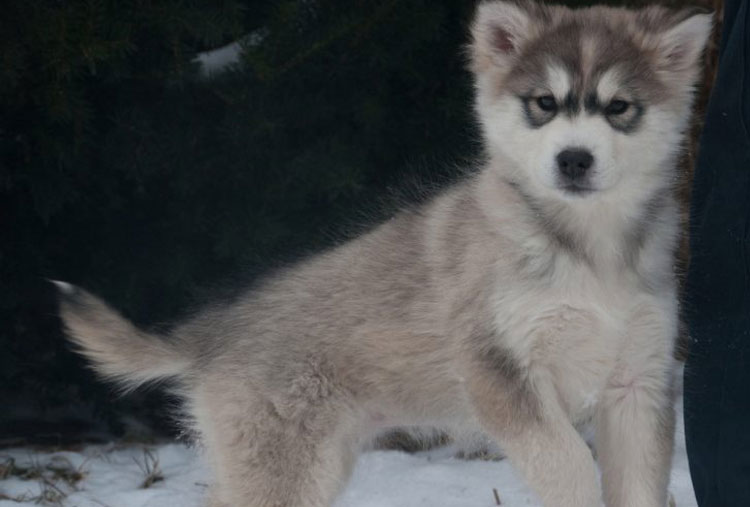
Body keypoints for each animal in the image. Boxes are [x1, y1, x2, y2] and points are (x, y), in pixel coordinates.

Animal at [55, 1, 712, 506]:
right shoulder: (497, 369)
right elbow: (570, 463)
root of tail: (209, 333)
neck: (587, 247)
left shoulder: (639, 382)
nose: (574, 159)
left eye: (619, 107)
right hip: (286, 469)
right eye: (543, 103)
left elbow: (638, 484)